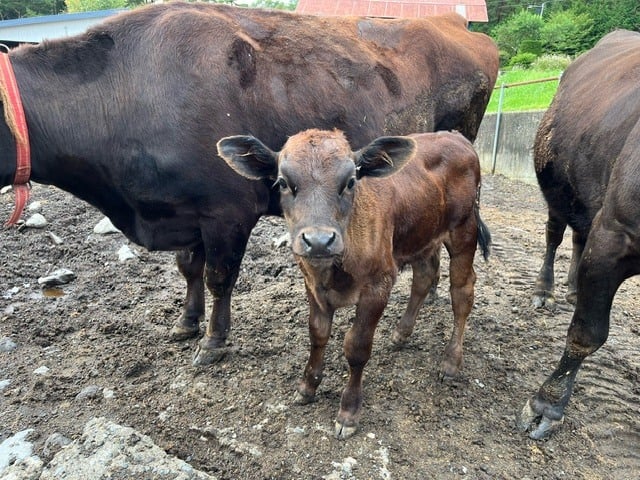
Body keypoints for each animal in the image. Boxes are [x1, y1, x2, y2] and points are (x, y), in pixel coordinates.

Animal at [0, 1, 500, 366]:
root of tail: (455, 24)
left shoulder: (226, 212)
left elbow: (219, 277)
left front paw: (212, 342)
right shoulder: (188, 213)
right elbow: (189, 268)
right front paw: (187, 322)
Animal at [216, 127, 490, 438]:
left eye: (350, 182)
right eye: (284, 182)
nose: (319, 241)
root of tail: (456, 136)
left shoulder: (378, 285)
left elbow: (357, 347)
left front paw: (348, 411)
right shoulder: (311, 282)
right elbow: (317, 334)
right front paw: (307, 387)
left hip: (464, 231)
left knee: (462, 292)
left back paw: (451, 361)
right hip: (422, 234)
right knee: (424, 276)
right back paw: (401, 334)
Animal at [520, 30, 640, 440]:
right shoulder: (615, 237)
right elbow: (587, 333)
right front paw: (547, 405)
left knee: (577, 238)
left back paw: (572, 288)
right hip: (558, 189)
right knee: (555, 236)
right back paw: (545, 291)